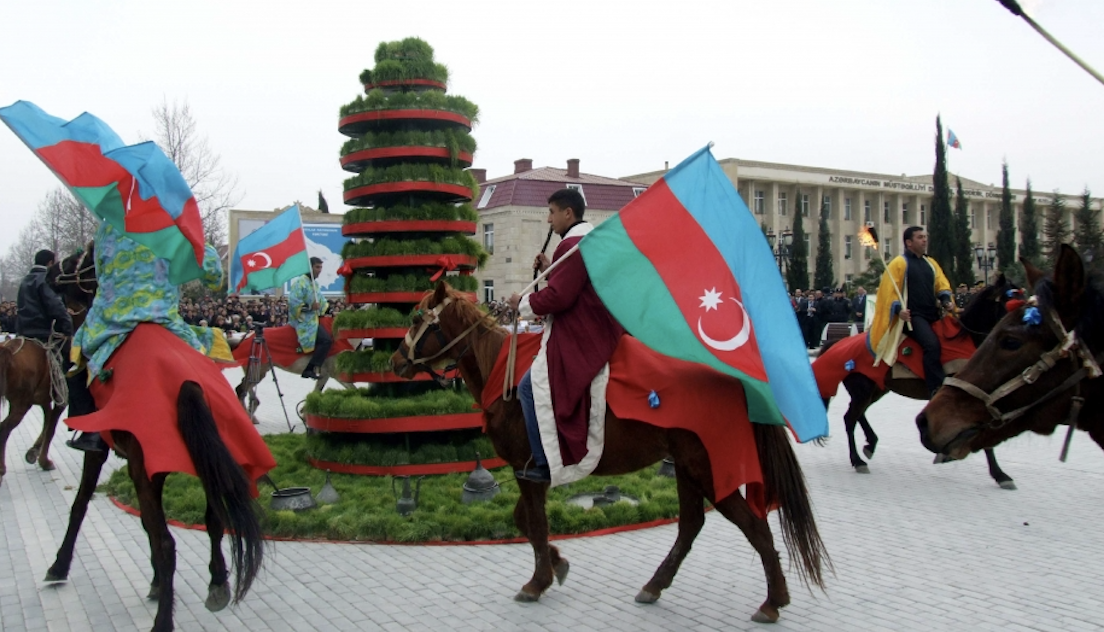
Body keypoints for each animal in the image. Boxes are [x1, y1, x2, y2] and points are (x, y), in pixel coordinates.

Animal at [43, 241, 269, 632]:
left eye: (74, 262)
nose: (49, 275)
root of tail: (189, 384)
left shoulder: (113, 455)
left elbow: (82, 504)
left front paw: (59, 566)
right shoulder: (155, 465)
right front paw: (155, 581)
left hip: (146, 464)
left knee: (167, 542)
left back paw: (164, 620)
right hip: (207, 458)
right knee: (213, 520)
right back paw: (217, 584)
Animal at [390, 282, 830, 623]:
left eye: (415, 319)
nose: (395, 361)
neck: (503, 370)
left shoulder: (526, 470)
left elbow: (535, 524)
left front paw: (537, 581)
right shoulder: (533, 473)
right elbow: (525, 521)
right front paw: (557, 564)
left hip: (706, 468)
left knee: (754, 527)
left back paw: (773, 601)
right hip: (687, 466)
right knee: (691, 525)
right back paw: (655, 585)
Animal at [812, 272, 1015, 488]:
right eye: (1008, 299)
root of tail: (838, 343)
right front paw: (1000, 475)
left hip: (876, 389)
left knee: (858, 415)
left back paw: (870, 444)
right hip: (864, 390)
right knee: (850, 419)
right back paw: (858, 460)